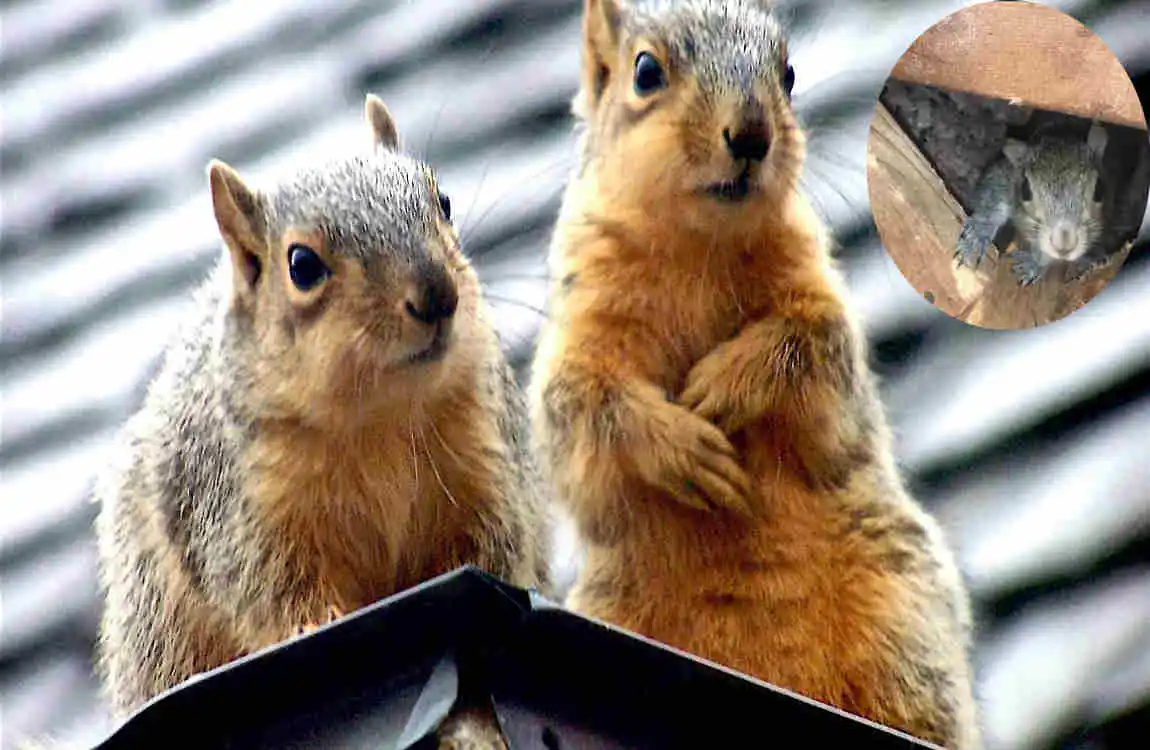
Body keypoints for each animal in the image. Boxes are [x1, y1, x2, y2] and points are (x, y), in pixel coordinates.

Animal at [91, 93, 549, 748]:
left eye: (442, 201)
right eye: (302, 265)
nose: (437, 295)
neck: (379, 418)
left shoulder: (484, 456)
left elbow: (491, 545)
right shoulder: (243, 513)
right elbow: (273, 589)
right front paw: (315, 624)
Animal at [527, 1, 981, 748]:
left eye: (788, 74)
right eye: (644, 72)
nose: (751, 133)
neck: (696, 244)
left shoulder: (818, 302)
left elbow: (813, 348)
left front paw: (726, 386)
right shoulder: (579, 334)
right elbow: (587, 407)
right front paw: (683, 447)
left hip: (904, 628)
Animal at [954, 120, 1112, 286]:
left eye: (1099, 190)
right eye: (1025, 190)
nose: (1064, 244)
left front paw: (1033, 265)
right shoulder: (1006, 176)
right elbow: (993, 201)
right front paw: (975, 238)